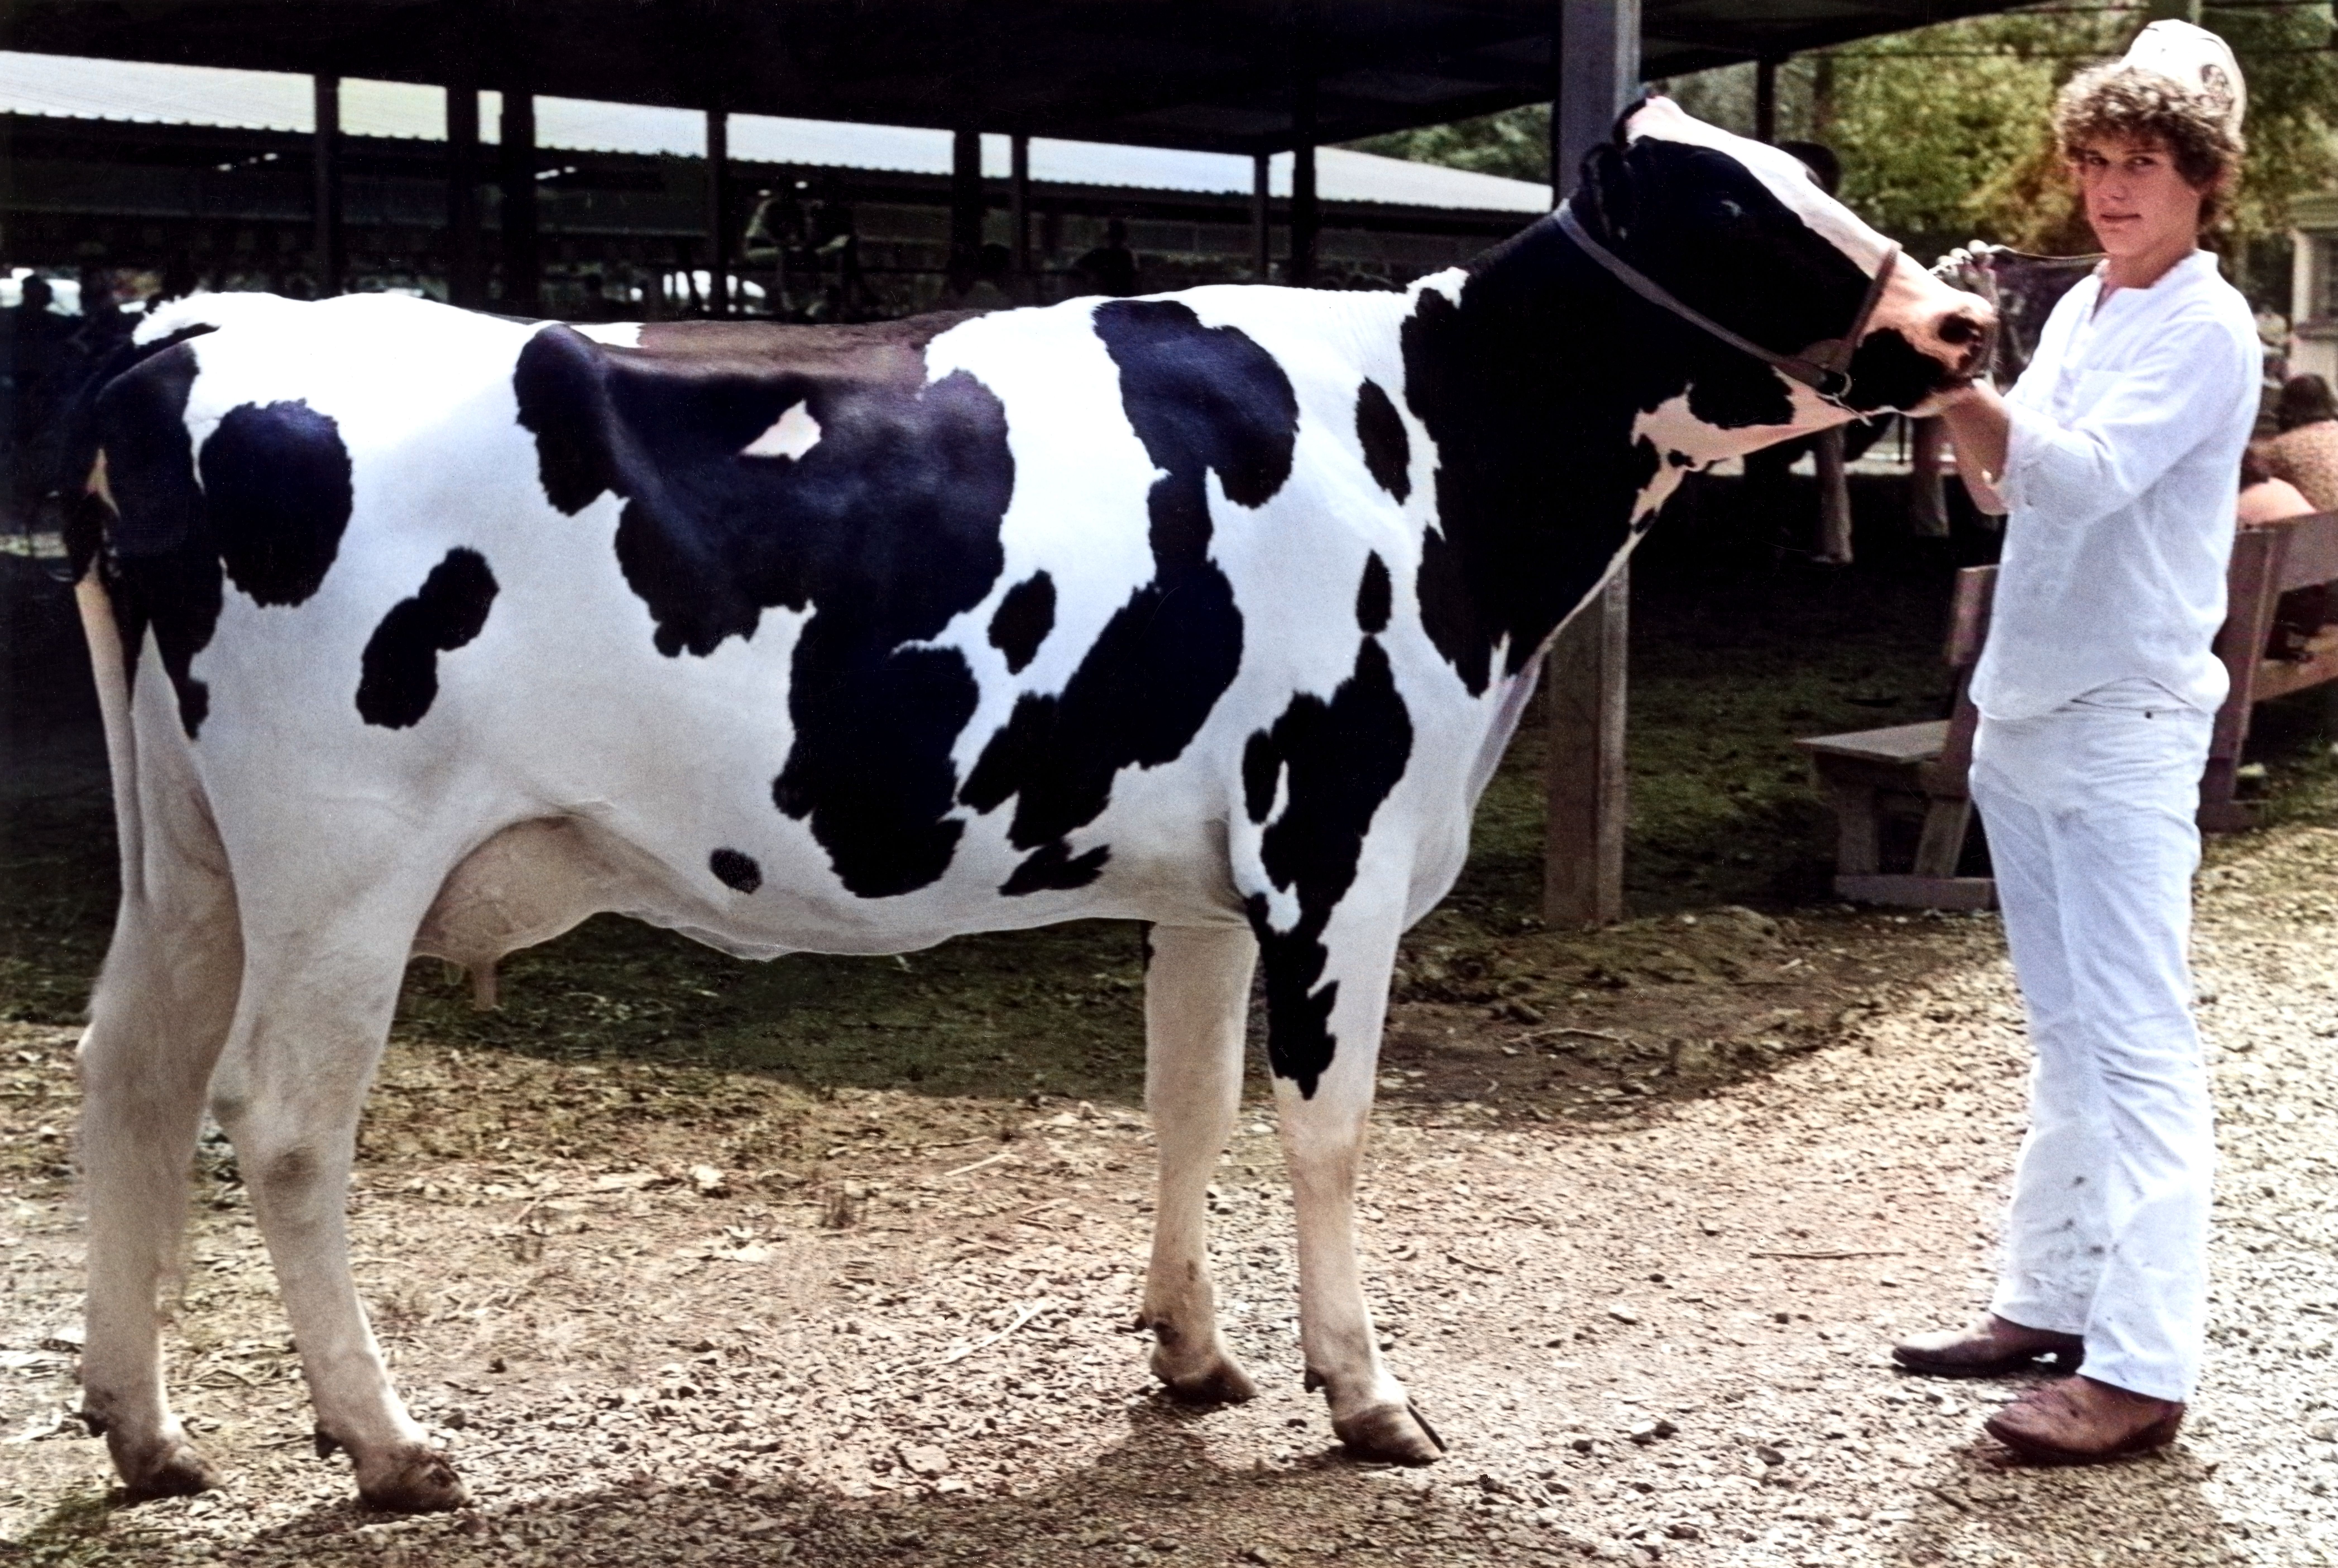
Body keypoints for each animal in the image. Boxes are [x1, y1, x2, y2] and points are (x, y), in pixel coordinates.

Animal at [65, 97, 1992, 1511]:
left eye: (1803, 179)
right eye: (1728, 212)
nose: (1961, 316)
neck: (1439, 452)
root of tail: (189, 339)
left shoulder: (1217, 883)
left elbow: (1184, 1108)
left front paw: (1192, 1355)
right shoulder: (1332, 850)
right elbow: (1324, 1130)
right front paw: (1363, 1394)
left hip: (189, 860)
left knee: (132, 1076)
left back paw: (145, 1429)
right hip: (344, 863)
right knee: (281, 1123)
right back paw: (389, 1445)